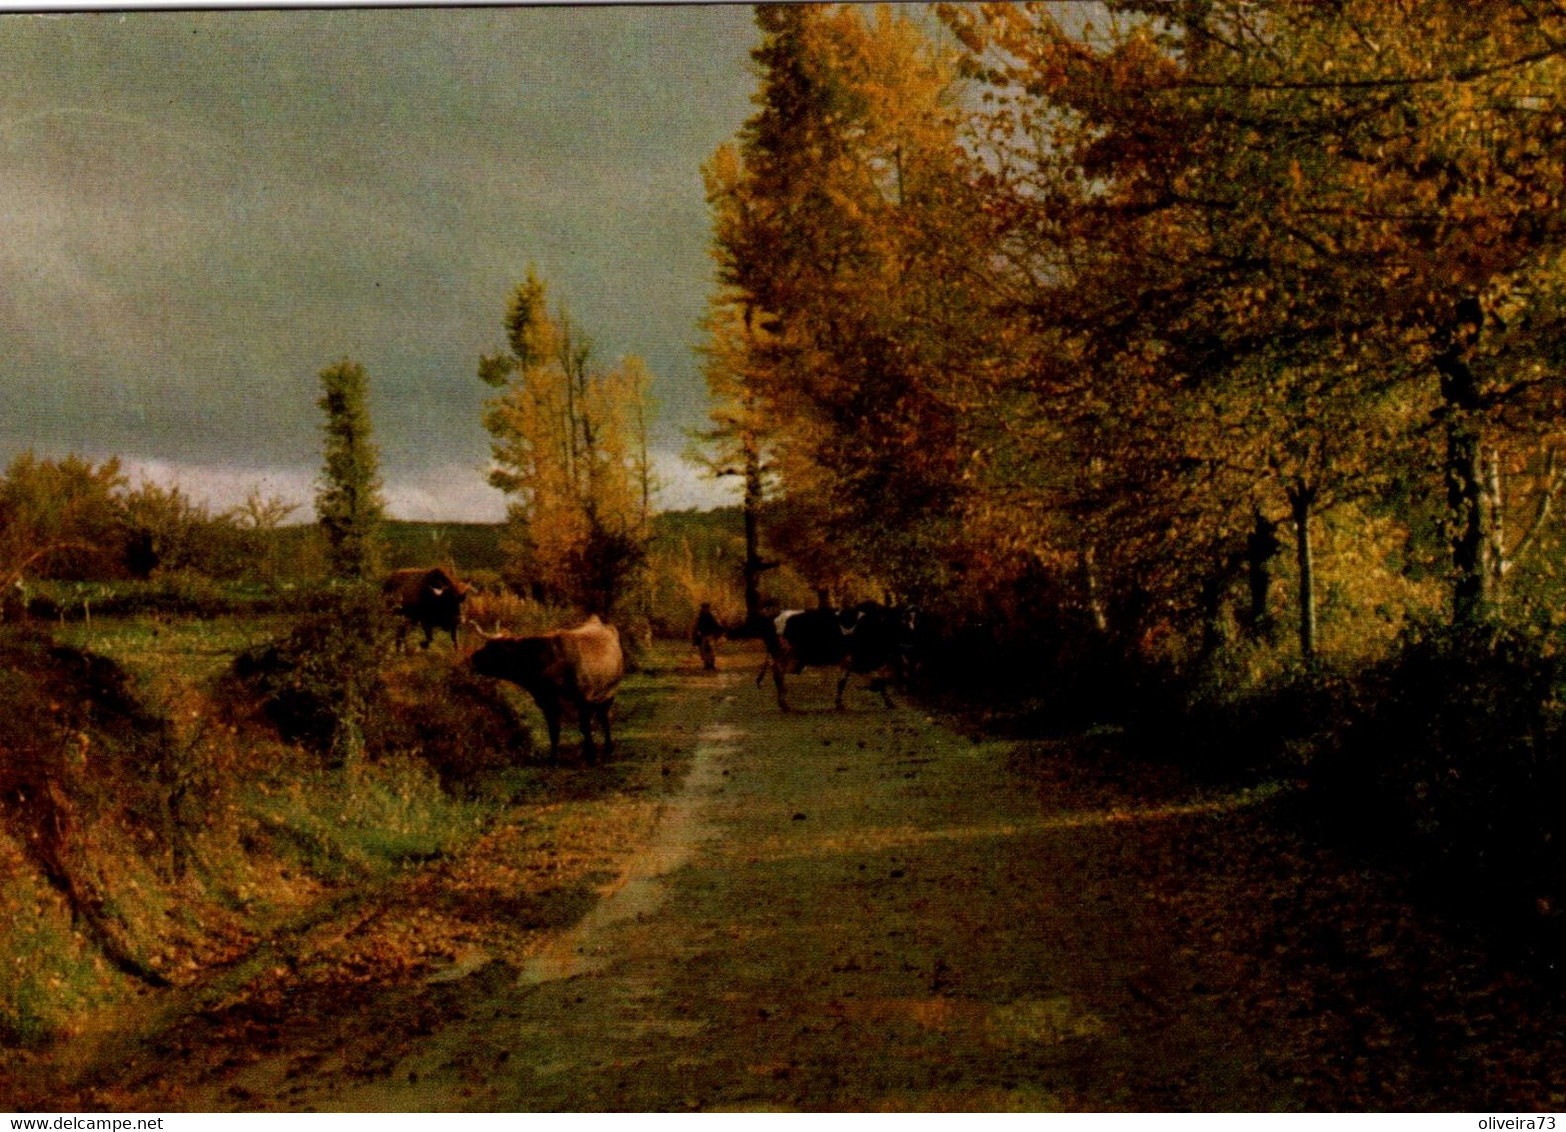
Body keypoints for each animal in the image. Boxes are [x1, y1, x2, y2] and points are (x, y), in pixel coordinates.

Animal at [466, 616, 626, 767]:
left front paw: (591, 756)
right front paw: (553, 760)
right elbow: (554, 731)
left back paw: (608, 749)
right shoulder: (546, 702)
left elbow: (585, 727)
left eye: (495, 649)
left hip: (610, 692)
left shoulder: (583, 698)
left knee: (604, 718)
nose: (473, 657)